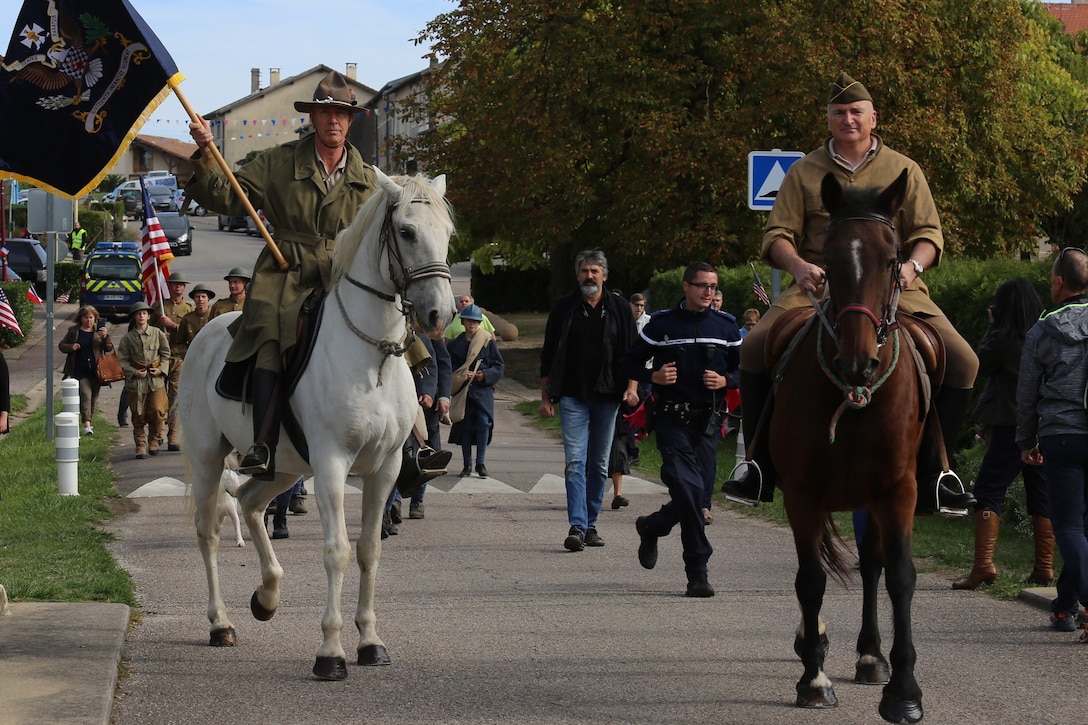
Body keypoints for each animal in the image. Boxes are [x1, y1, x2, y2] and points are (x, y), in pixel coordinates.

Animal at [178, 170, 454, 679]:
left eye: (446, 233)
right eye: (406, 231)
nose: (439, 315)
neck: (371, 355)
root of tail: (207, 330)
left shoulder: (385, 469)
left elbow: (369, 550)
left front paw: (370, 641)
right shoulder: (331, 465)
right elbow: (338, 551)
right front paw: (331, 651)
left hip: (283, 467)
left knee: (250, 503)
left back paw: (267, 595)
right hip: (209, 459)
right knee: (210, 533)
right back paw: (220, 623)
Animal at [774, 169, 926, 718]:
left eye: (891, 259)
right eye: (828, 260)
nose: (858, 363)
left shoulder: (898, 491)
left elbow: (899, 575)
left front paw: (903, 691)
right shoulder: (802, 494)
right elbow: (810, 579)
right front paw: (814, 679)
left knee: (873, 567)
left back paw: (869, 656)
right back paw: (812, 643)